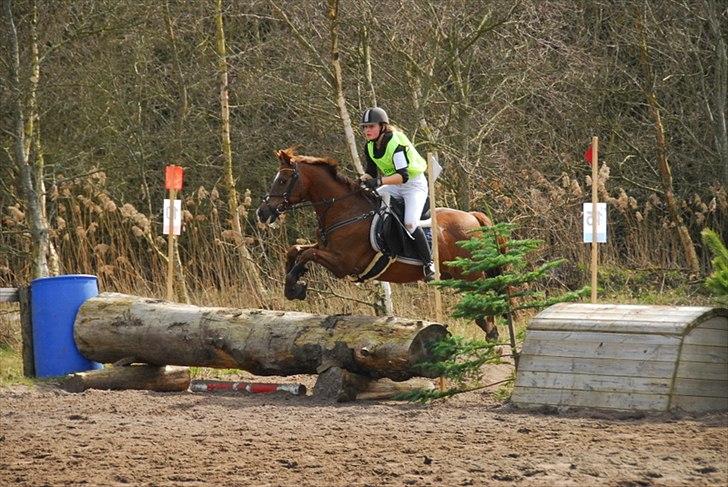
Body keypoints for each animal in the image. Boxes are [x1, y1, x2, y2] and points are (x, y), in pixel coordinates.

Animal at [256, 148, 499, 340]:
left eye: (283, 180)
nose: (262, 212)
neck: (345, 211)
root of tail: (473, 216)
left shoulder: (343, 264)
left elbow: (307, 255)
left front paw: (295, 284)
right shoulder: (325, 249)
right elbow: (295, 250)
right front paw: (293, 285)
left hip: (470, 274)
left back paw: (492, 332)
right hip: (455, 274)